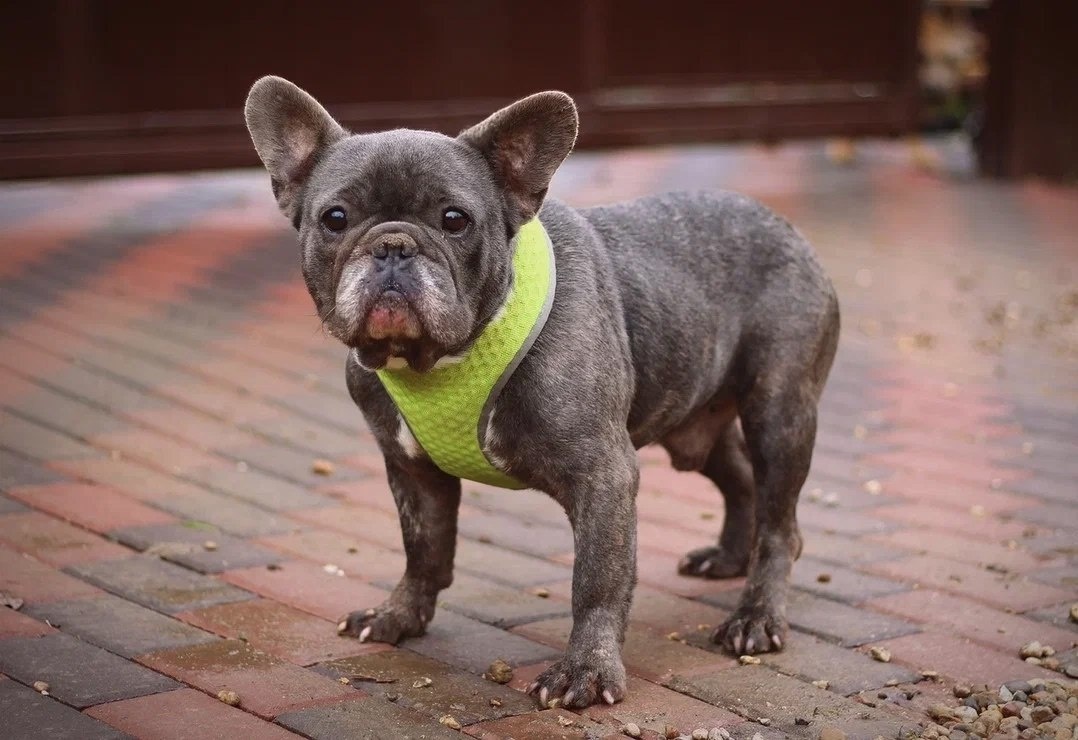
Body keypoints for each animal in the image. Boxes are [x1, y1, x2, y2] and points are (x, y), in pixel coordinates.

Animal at [245, 76, 840, 709]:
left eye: (455, 219)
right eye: (335, 218)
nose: (394, 246)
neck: (441, 358)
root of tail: (787, 228)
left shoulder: (604, 475)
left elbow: (596, 582)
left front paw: (587, 671)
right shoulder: (412, 470)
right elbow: (422, 549)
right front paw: (399, 615)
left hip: (779, 412)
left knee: (779, 520)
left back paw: (757, 615)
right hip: (693, 424)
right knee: (740, 478)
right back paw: (728, 557)